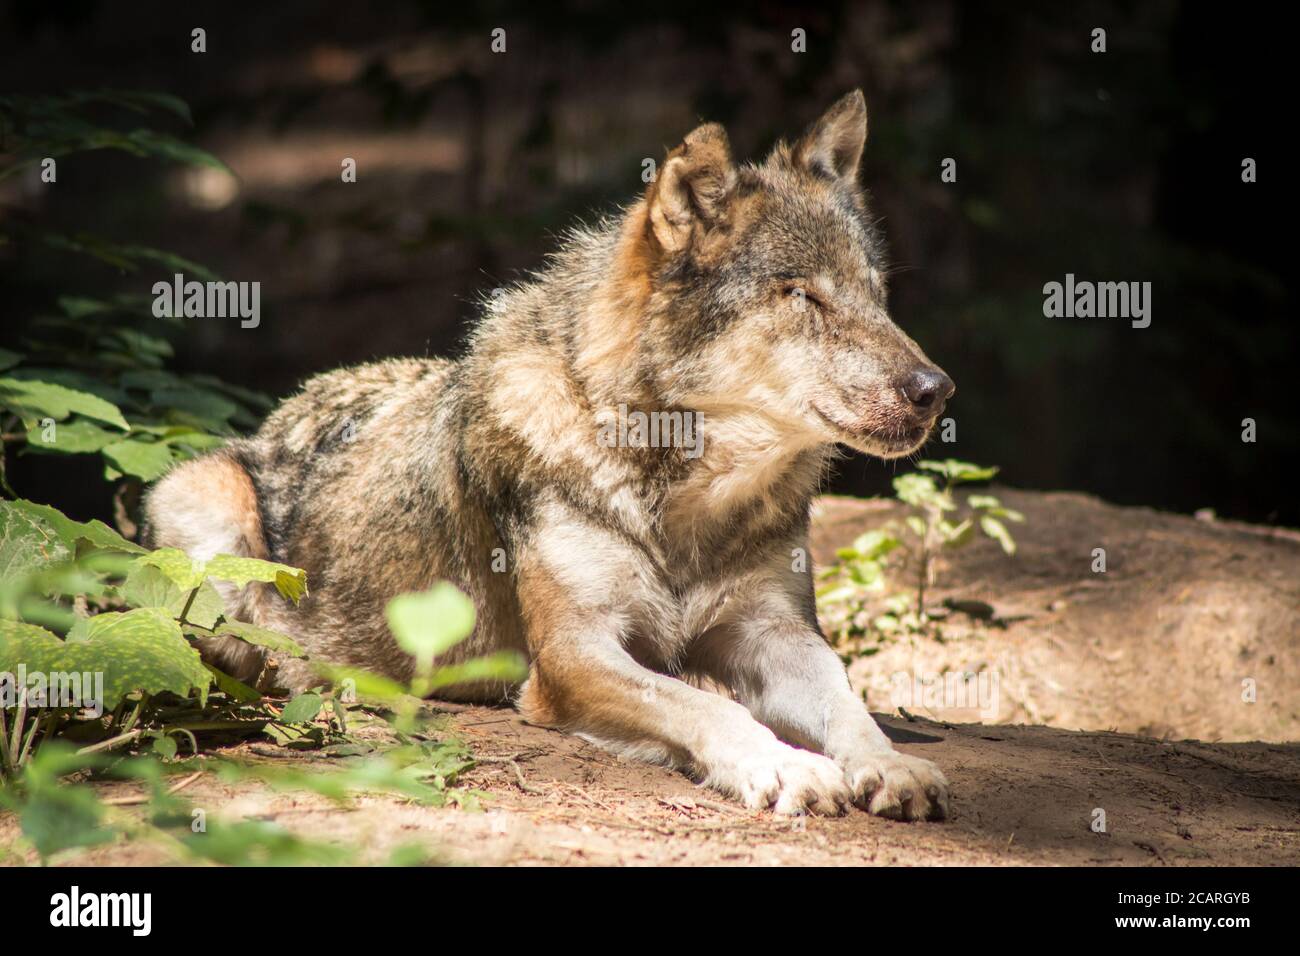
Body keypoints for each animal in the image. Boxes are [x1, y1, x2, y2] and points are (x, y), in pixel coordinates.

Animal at [147, 91, 956, 822]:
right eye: (799, 296)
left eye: (876, 296)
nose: (936, 389)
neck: (678, 503)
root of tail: (287, 405)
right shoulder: (574, 655)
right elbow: (706, 707)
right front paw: (784, 765)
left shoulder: (776, 633)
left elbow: (846, 698)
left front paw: (891, 764)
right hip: (202, 502)